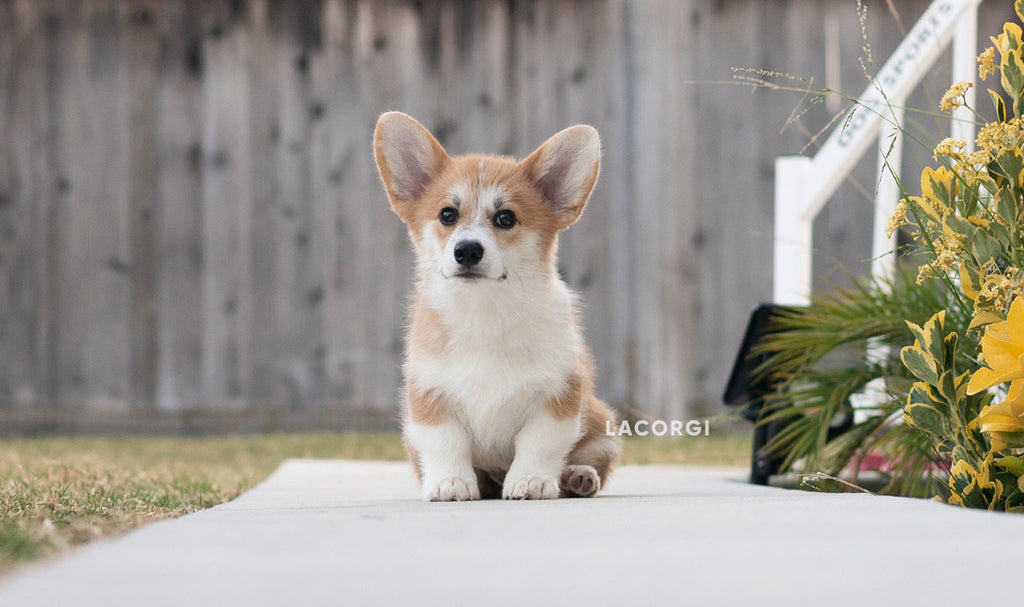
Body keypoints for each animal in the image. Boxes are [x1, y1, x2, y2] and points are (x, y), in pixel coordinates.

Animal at [374, 111, 618, 499]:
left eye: (506, 218)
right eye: (447, 215)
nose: (467, 251)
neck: (483, 312)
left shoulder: (559, 394)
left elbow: (539, 442)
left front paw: (531, 481)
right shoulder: (429, 394)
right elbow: (446, 442)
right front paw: (451, 483)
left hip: (602, 423)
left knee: (592, 457)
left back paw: (577, 476)